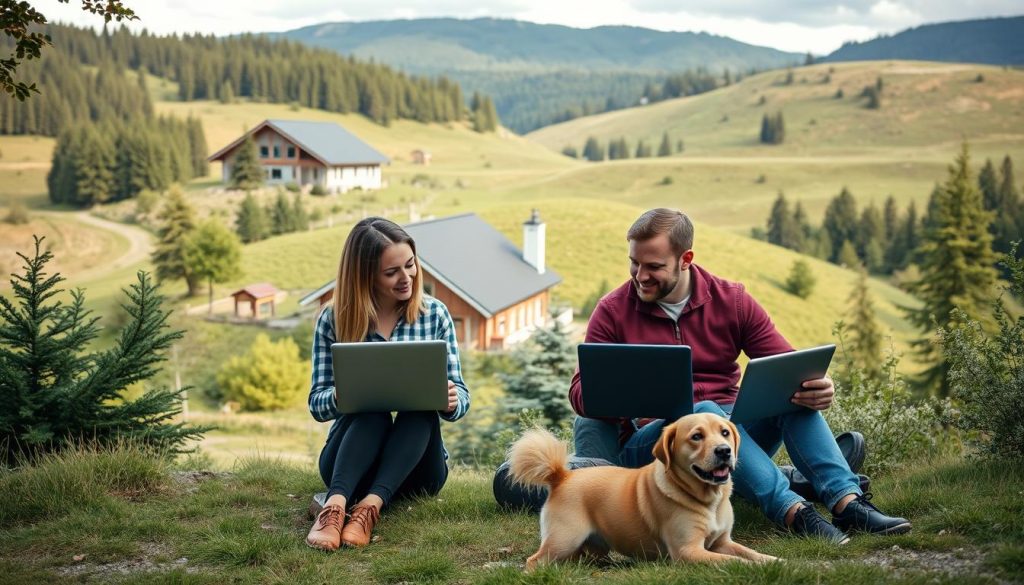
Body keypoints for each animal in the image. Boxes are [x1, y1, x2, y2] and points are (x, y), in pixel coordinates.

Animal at [507, 411, 778, 569]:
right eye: (696, 436)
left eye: (725, 432)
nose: (724, 451)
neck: (708, 499)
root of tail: (562, 477)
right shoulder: (688, 551)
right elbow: (736, 561)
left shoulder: (722, 542)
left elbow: (751, 553)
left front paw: (778, 561)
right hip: (564, 540)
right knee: (534, 561)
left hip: (586, 547)